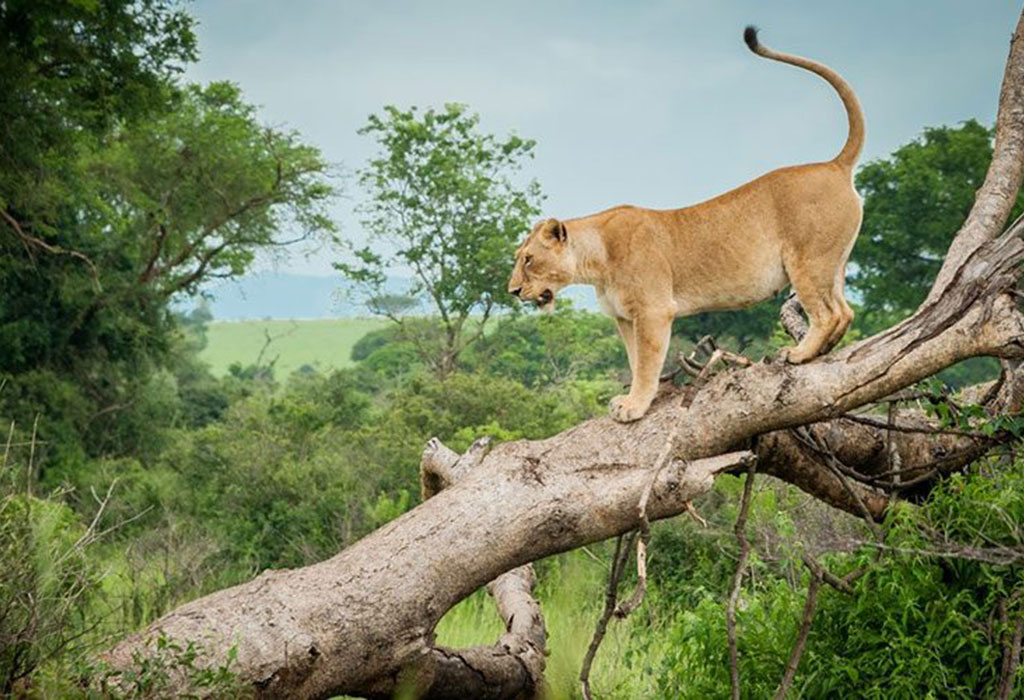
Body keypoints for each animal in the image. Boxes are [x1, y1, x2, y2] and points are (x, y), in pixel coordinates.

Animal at [507, 26, 865, 423]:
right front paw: (631, 399)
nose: (513, 291)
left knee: (828, 313)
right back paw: (822, 351)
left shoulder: (653, 311)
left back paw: (799, 354)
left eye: (528, 259)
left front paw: (634, 406)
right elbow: (635, 361)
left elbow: (646, 364)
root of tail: (834, 165)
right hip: (833, 262)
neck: (595, 260)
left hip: (807, 261)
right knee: (845, 311)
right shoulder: (625, 318)